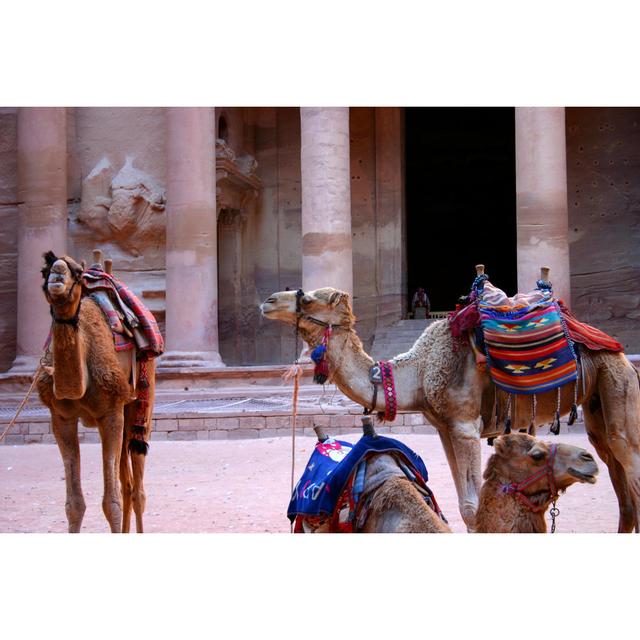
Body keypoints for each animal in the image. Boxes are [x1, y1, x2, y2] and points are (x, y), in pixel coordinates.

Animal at [36, 252, 155, 532]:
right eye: (45, 270)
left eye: (78, 273)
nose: (58, 274)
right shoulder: (61, 417)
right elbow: (74, 505)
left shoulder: (110, 411)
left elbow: (111, 503)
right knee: (127, 483)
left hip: (140, 400)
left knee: (137, 487)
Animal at [260, 268, 640, 532]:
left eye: (308, 298)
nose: (268, 301)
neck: (420, 370)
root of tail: (618, 351)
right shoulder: (443, 426)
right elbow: (463, 506)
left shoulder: (464, 424)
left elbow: (471, 507)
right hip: (597, 407)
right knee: (621, 486)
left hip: (617, 383)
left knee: (629, 463)